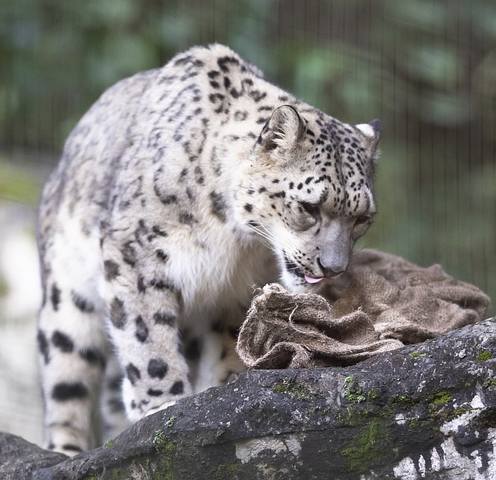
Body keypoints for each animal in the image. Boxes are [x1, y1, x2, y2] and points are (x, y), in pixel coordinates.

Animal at [36, 44, 380, 455]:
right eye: (309, 207)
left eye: (362, 218)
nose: (333, 267)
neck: (236, 242)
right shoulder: (136, 254)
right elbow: (146, 336)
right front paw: (162, 403)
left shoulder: (234, 293)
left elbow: (229, 344)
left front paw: (222, 391)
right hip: (67, 302)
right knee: (66, 385)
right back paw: (65, 452)